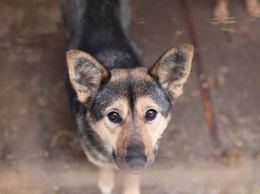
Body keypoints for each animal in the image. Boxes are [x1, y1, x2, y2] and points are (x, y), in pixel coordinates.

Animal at [60, 0, 193, 194]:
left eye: (151, 114)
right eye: (113, 116)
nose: (137, 162)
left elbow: (132, 178)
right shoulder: (97, 157)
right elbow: (104, 167)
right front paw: (106, 181)